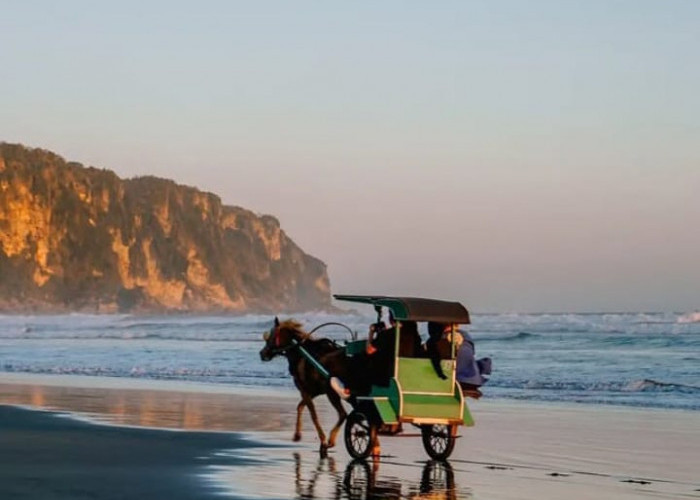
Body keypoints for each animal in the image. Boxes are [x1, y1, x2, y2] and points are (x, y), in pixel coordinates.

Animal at [258, 318, 348, 456]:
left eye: (271, 337)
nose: (262, 353)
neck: (300, 352)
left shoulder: (305, 390)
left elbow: (313, 414)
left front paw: (323, 441)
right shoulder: (313, 391)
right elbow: (300, 406)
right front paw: (297, 435)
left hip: (332, 392)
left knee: (343, 414)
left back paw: (331, 440)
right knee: (344, 414)